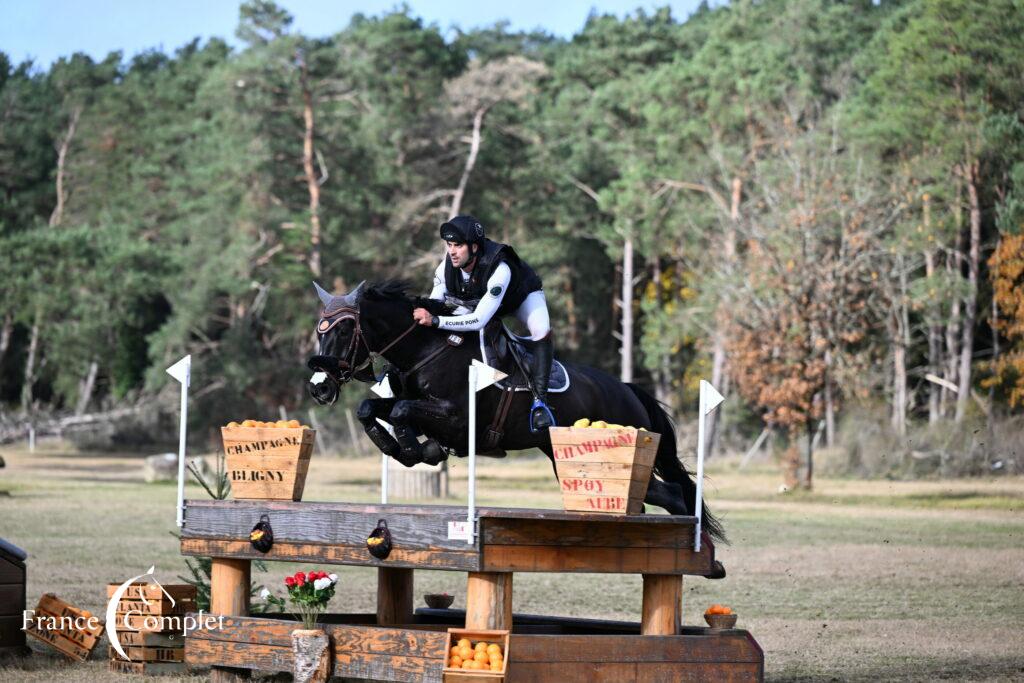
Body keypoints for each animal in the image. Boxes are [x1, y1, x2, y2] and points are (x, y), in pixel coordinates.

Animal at [307, 280, 724, 540]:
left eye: (343, 331)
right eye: (319, 330)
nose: (319, 387)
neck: (425, 350)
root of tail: (628, 391)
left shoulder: (458, 419)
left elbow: (400, 411)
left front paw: (414, 449)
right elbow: (371, 407)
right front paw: (403, 448)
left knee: (673, 494)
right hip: (564, 459)